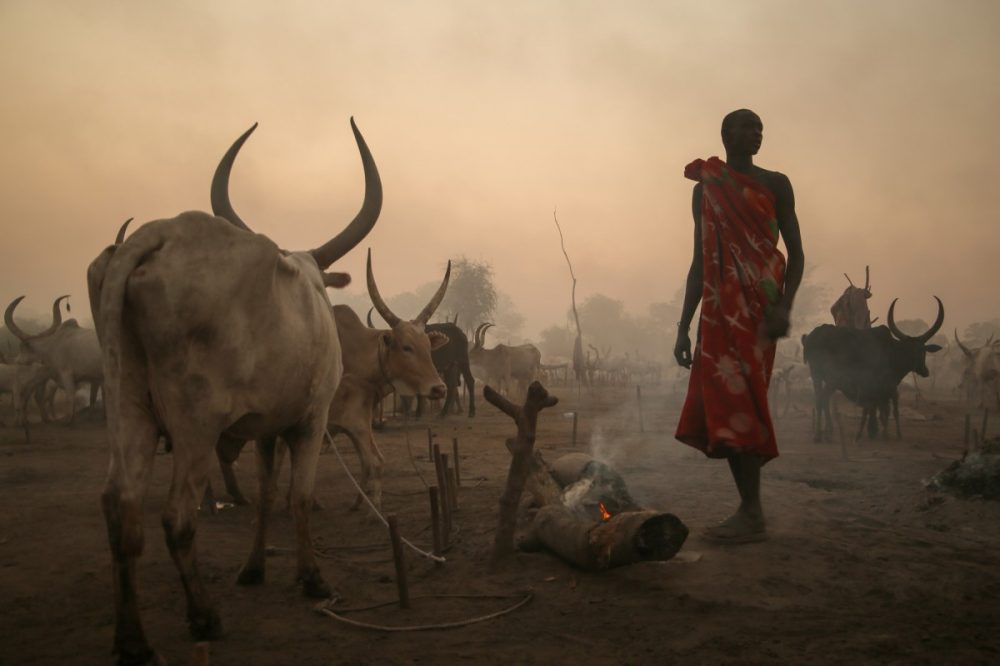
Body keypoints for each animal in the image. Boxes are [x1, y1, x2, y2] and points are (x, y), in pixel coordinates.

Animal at [87, 120, 378, 664]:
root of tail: (158, 234)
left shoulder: (264, 428)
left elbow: (265, 495)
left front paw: (254, 569)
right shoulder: (311, 419)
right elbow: (299, 496)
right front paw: (312, 578)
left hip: (125, 405)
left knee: (121, 508)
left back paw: (133, 641)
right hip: (195, 424)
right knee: (176, 516)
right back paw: (204, 616)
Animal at [800, 296, 940, 440]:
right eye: (921, 351)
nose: (925, 371)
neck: (892, 352)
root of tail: (810, 337)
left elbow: (875, 408)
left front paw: (873, 431)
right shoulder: (880, 386)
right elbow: (879, 409)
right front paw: (875, 431)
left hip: (821, 377)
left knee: (821, 398)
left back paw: (825, 431)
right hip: (828, 378)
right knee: (821, 398)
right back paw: (821, 434)